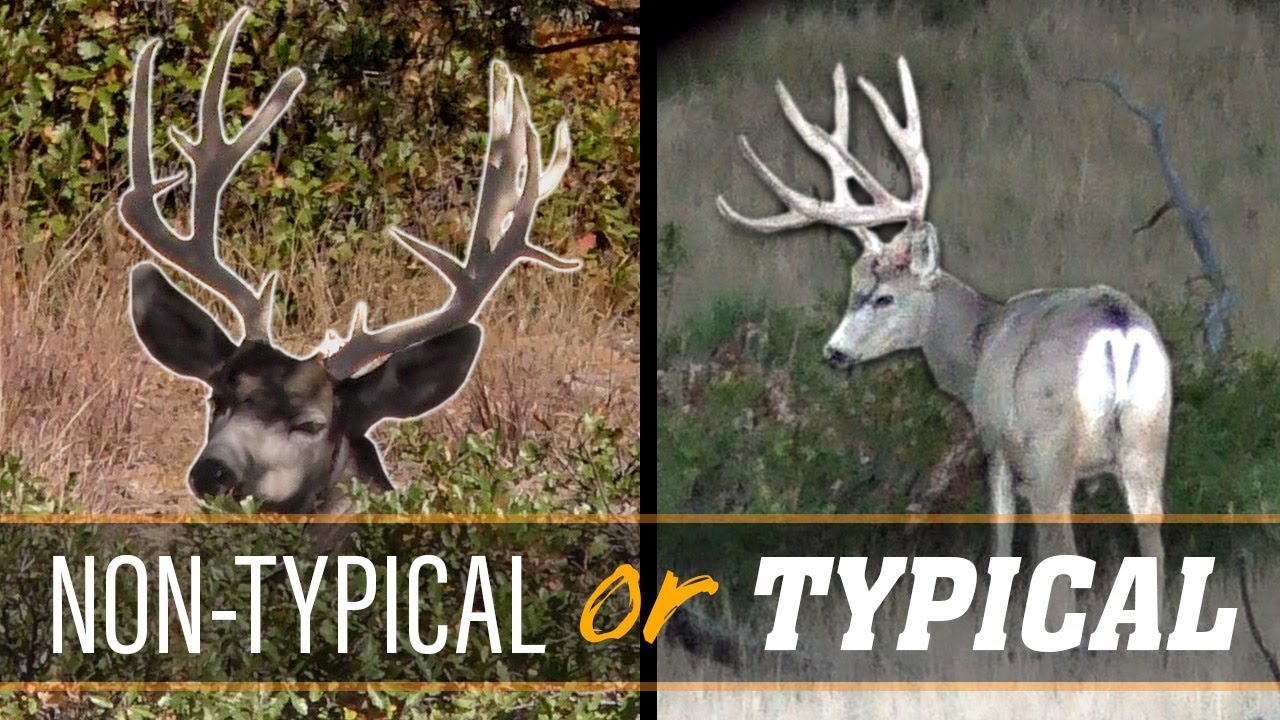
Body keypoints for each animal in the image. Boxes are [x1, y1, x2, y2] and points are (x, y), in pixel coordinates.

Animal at [716, 57, 1170, 582]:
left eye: (884, 298)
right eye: (853, 290)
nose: (834, 352)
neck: (977, 346)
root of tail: (1119, 332)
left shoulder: (996, 443)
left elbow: (1003, 542)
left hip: (1051, 447)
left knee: (1063, 553)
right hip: (1148, 440)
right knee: (1154, 552)